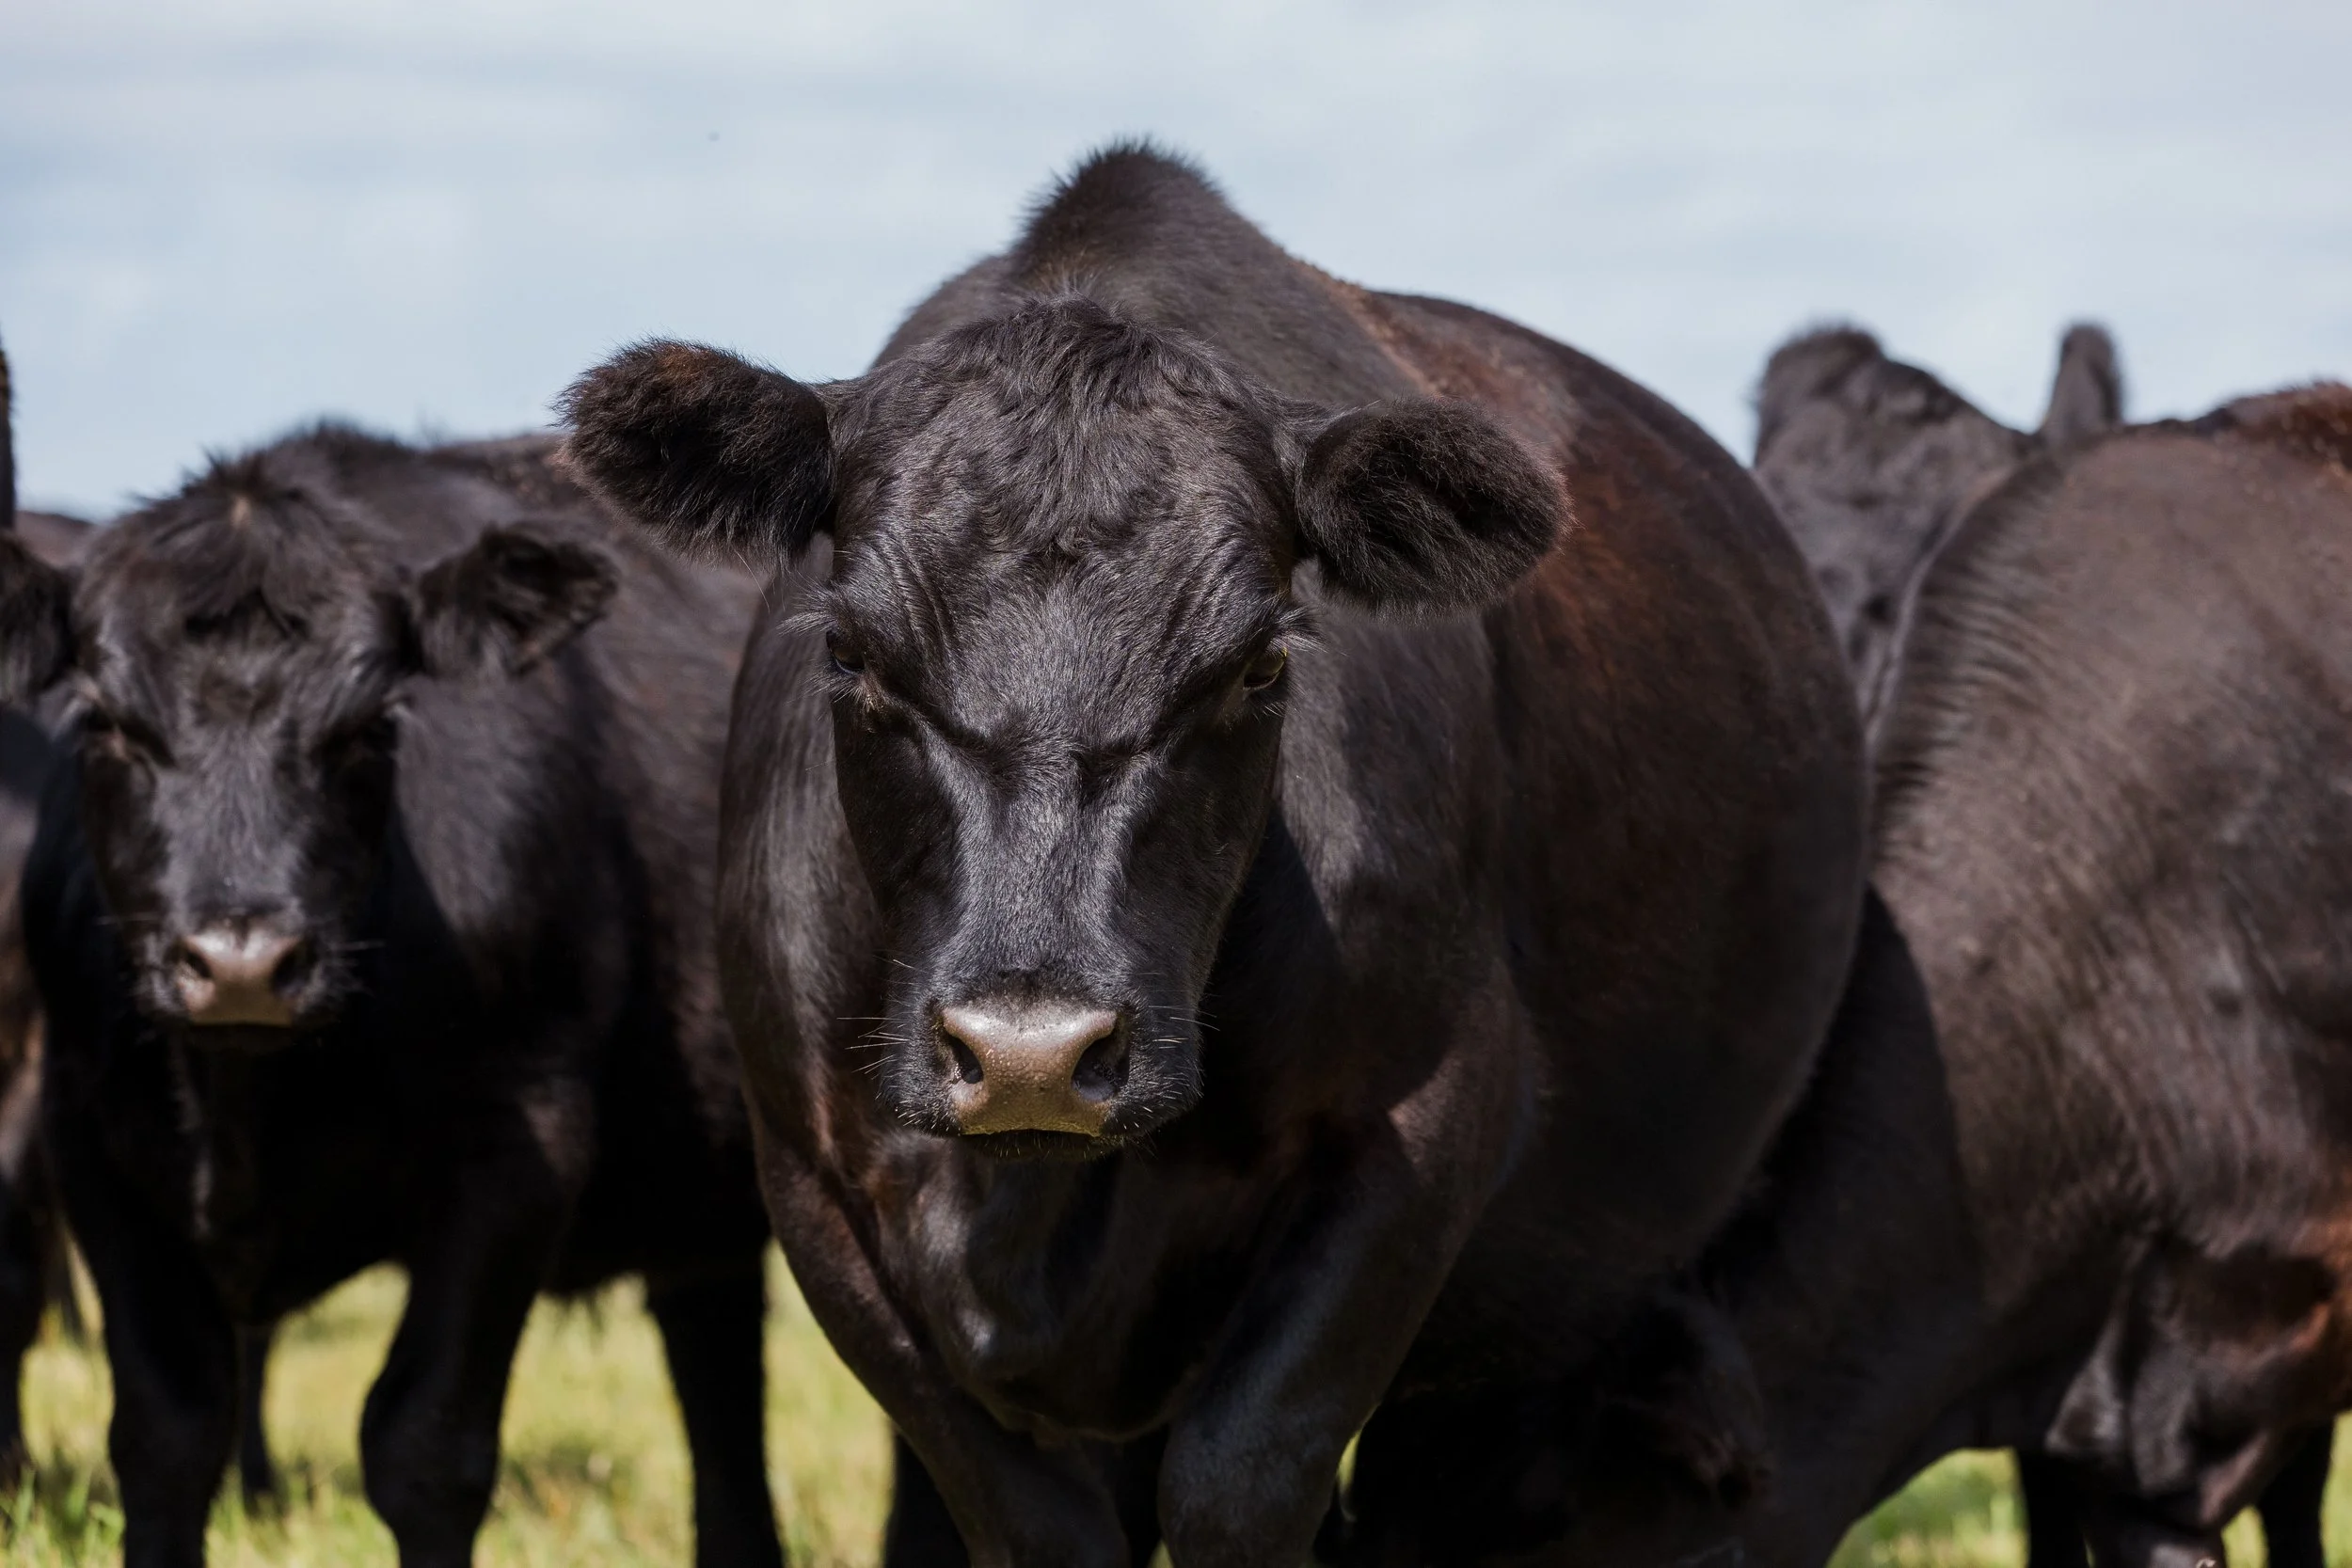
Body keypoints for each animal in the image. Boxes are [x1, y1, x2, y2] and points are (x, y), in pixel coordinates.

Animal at [0, 426, 785, 1568]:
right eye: (104, 721)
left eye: (370, 726)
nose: (242, 959)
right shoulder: (86, 1137)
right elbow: (164, 1433)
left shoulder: (518, 1145)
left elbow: (424, 1446)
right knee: (718, 1364)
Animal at [560, 143, 1870, 1568]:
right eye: (853, 653)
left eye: (1257, 662)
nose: (1031, 1050)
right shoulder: (813, 1179)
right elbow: (1034, 1517)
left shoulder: (1421, 1121)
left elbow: (1241, 1477)